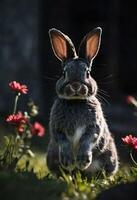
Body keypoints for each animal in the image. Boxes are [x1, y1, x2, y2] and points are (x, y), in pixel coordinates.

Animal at [46, 27, 119, 177]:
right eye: (64, 73)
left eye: (88, 73)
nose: (75, 85)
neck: (76, 101)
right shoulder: (57, 128)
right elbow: (63, 141)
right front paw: (68, 161)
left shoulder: (94, 126)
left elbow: (88, 139)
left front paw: (83, 161)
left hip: (109, 157)